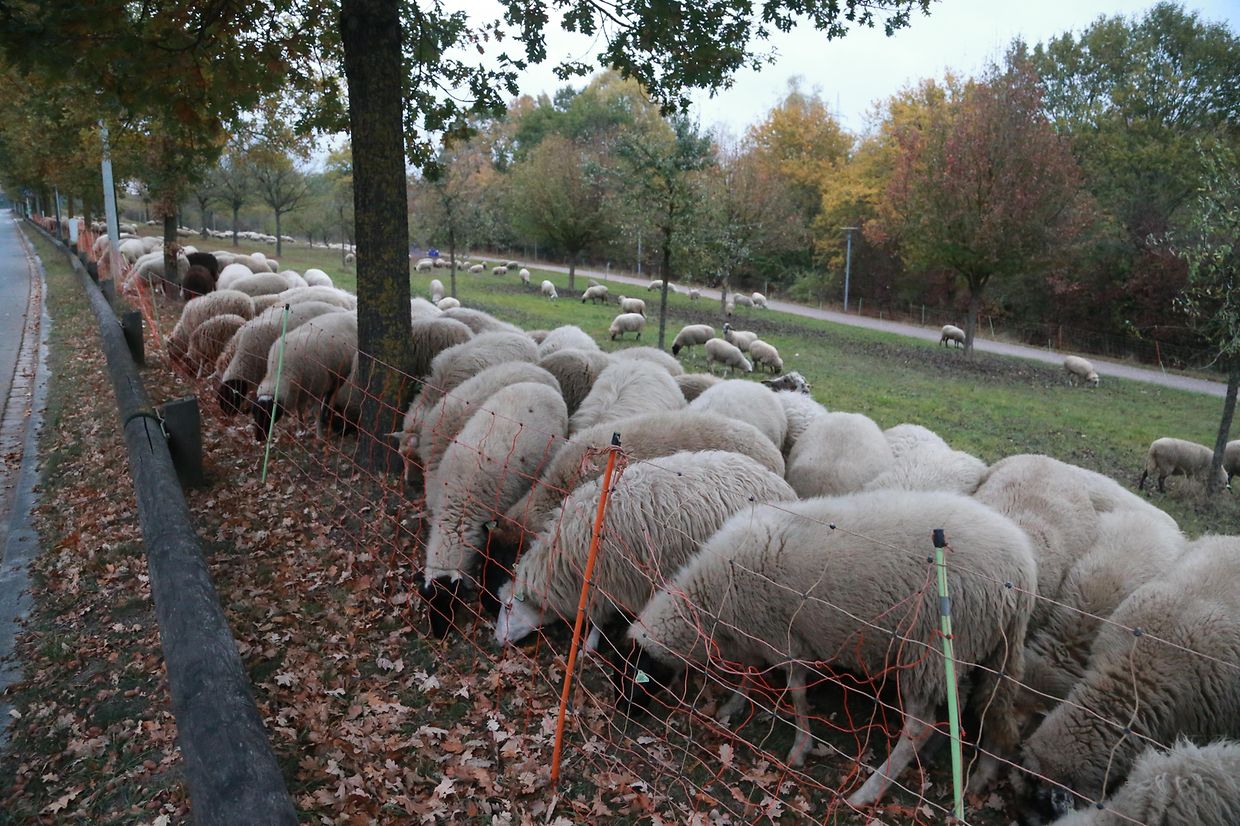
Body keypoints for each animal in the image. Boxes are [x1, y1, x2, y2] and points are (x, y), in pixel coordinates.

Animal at [252, 311, 358, 440]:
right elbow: (298, 409)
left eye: (269, 414)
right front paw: (300, 430)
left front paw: (319, 436)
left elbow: (315, 411)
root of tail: (351, 316)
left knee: (330, 395)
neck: (282, 370)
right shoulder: (299, 390)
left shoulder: (318, 387)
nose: (258, 438)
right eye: (255, 414)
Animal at [495, 450, 797, 648]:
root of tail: (781, 484)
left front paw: (588, 646)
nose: (496, 640)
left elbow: (596, 617)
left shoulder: (608, 580)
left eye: (509, 607)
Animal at [623, 489, 1036, 807]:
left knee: (919, 728)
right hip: (974, 651)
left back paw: (868, 791)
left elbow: (796, 692)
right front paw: (732, 706)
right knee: (975, 707)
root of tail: (1023, 570)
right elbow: (751, 671)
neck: (712, 597)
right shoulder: (755, 633)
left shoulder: (783, 638)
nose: (624, 716)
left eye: (637, 677)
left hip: (928, 649)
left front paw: (799, 747)